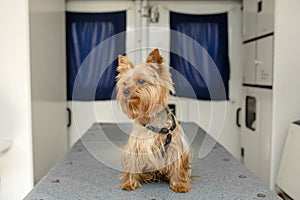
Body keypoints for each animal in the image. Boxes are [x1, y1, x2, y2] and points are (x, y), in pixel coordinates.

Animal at [116, 48, 191, 192]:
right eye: (124, 83)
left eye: (140, 81)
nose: (125, 92)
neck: (152, 120)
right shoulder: (135, 148)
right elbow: (132, 164)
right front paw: (130, 183)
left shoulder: (174, 147)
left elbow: (176, 166)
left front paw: (179, 184)